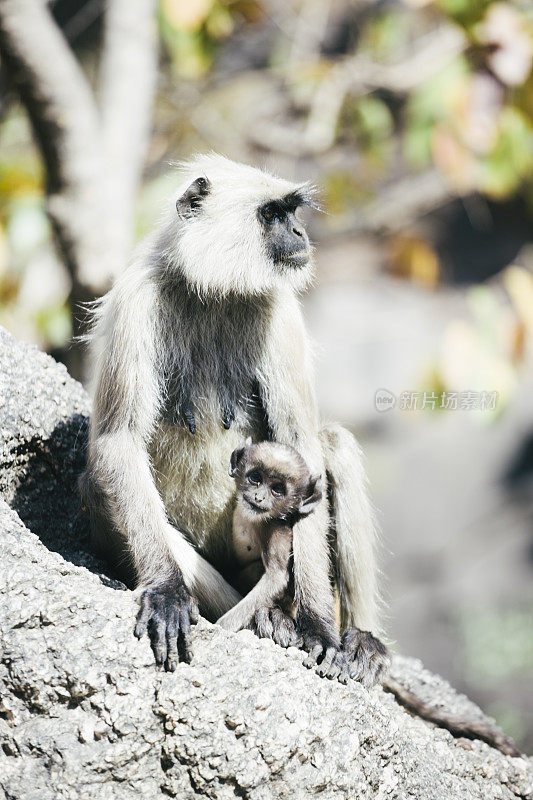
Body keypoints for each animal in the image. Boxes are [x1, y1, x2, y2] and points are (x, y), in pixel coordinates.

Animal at [215, 438, 320, 644]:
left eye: (277, 489)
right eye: (255, 477)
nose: (259, 497)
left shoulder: (273, 527)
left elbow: (276, 576)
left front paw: (220, 627)